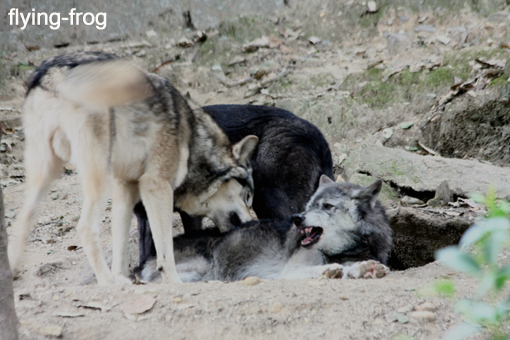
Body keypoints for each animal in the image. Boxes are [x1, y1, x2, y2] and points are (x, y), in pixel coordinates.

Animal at [8, 51, 258, 286]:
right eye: (247, 197)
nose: (253, 223)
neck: (193, 139)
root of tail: (51, 73)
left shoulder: (125, 186)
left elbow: (120, 245)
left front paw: (122, 276)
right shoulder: (155, 186)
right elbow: (165, 250)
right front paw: (173, 282)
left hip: (45, 172)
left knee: (22, 219)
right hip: (98, 177)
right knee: (85, 227)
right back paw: (107, 282)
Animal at [133, 175, 392, 282]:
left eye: (327, 206)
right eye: (309, 205)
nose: (297, 218)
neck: (351, 248)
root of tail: (146, 258)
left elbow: (351, 268)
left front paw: (365, 269)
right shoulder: (289, 271)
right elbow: (316, 269)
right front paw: (328, 270)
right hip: (203, 269)